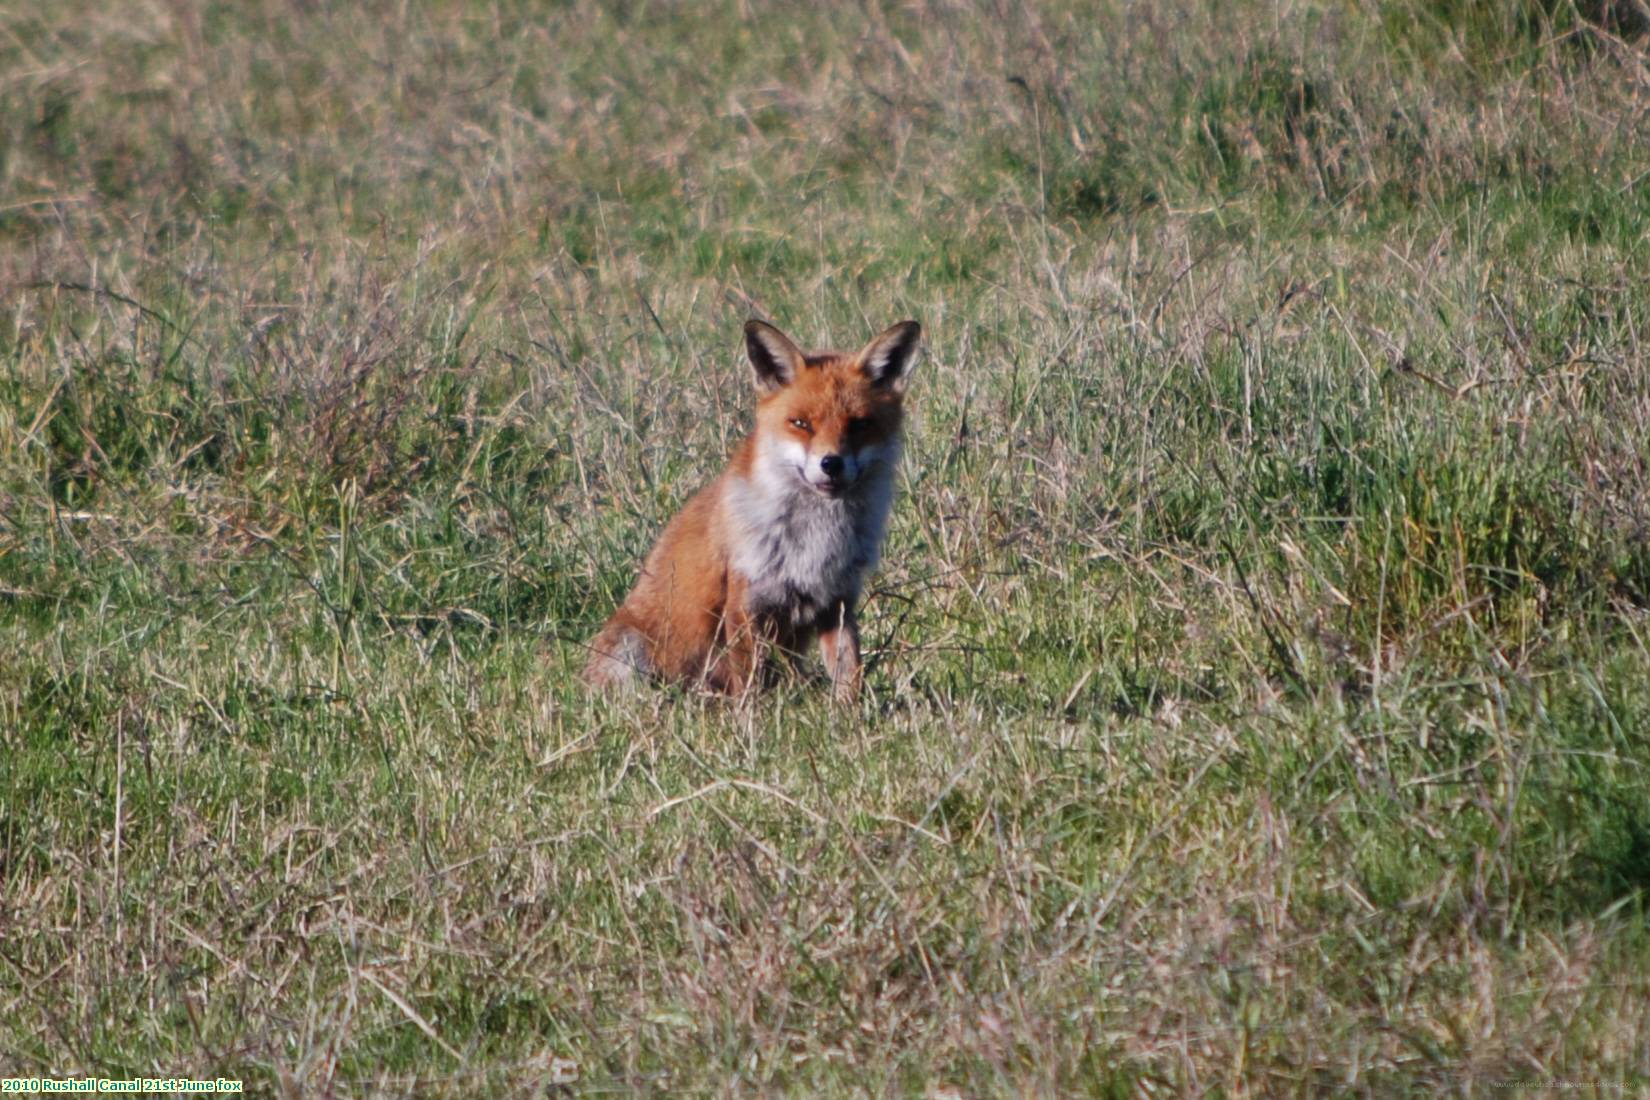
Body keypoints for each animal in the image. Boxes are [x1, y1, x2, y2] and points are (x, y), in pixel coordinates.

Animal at [584, 318, 924, 702]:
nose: (831, 464)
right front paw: (752, 717)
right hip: (632, 652)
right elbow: (750, 685)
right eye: (801, 423)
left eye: (859, 424)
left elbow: (850, 676)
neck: (817, 537)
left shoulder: (838, 603)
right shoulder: (746, 602)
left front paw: (849, 714)